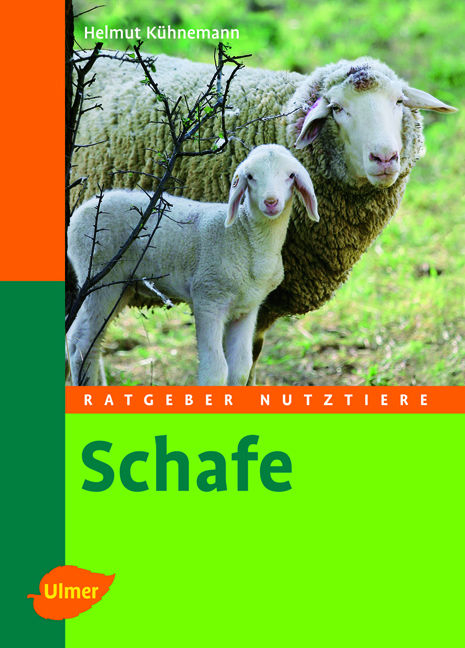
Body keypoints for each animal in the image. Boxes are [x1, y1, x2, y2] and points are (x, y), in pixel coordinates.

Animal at [67, 144, 319, 386]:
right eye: (250, 176)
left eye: (290, 175)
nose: (271, 202)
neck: (246, 237)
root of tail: (83, 209)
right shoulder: (208, 299)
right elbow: (215, 370)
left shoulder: (247, 308)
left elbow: (240, 369)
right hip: (99, 277)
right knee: (80, 342)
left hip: (121, 286)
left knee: (93, 342)